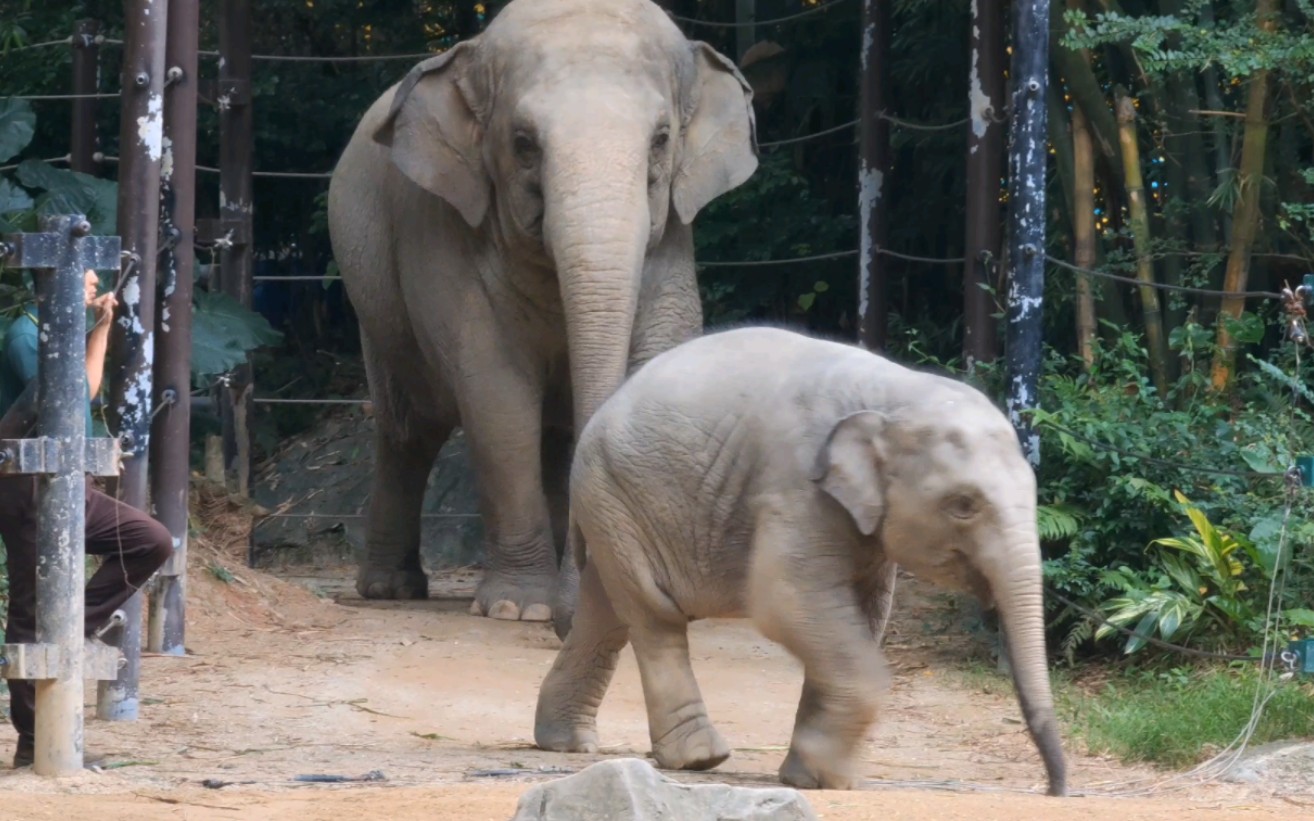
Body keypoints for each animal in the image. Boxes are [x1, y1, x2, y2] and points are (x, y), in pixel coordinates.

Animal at [327, 0, 762, 620]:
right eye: (524, 142)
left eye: (661, 139)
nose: (572, 614)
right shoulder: (443, 234)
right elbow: (497, 398)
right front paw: (521, 608)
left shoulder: (674, 239)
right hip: (376, 307)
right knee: (410, 429)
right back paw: (391, 589)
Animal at [533, 324, 1066, 793]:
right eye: (964, 505)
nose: (1055, 789)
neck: (895, 392)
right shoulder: (795, 487)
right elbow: (785, 603)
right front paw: (830, 777)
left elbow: (861, 616)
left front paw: (809, 777)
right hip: (617, 495)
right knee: (653, 614)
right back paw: (699, 758)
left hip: (614, 507)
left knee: (608, 613)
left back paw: (569, 744)